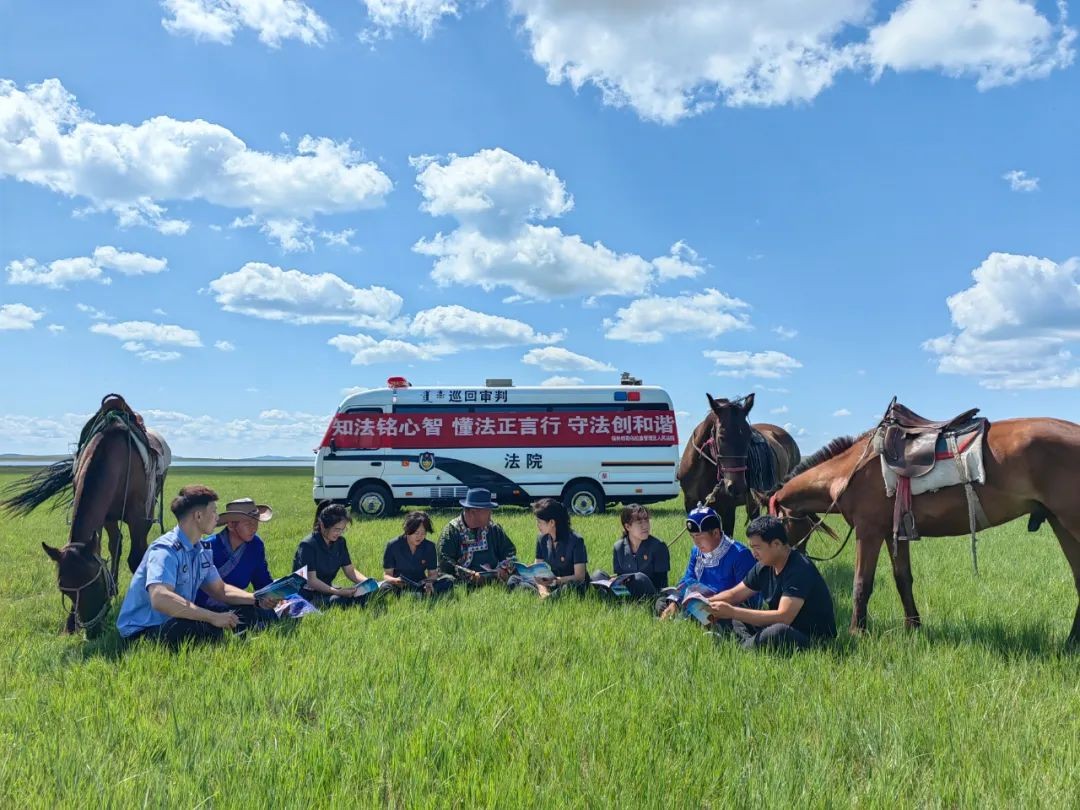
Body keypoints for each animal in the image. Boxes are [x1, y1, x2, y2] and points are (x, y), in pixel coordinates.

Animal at [2, 399, 168, 639]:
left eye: (96, 584)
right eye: (65, 590)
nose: (92, 631)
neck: (115, 456)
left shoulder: (138, 518)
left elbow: (136, 558)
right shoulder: (103, 517)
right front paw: (70, 625)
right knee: (116, 544)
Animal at [768, 419, 1080, 648]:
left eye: (778, 523)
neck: (851, 470)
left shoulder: (868, 532)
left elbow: (862, 584)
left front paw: (857, 632)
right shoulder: (894, 534)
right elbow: (903, 580)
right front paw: (913, 626)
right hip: (1061, 525)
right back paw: (1071, 644)